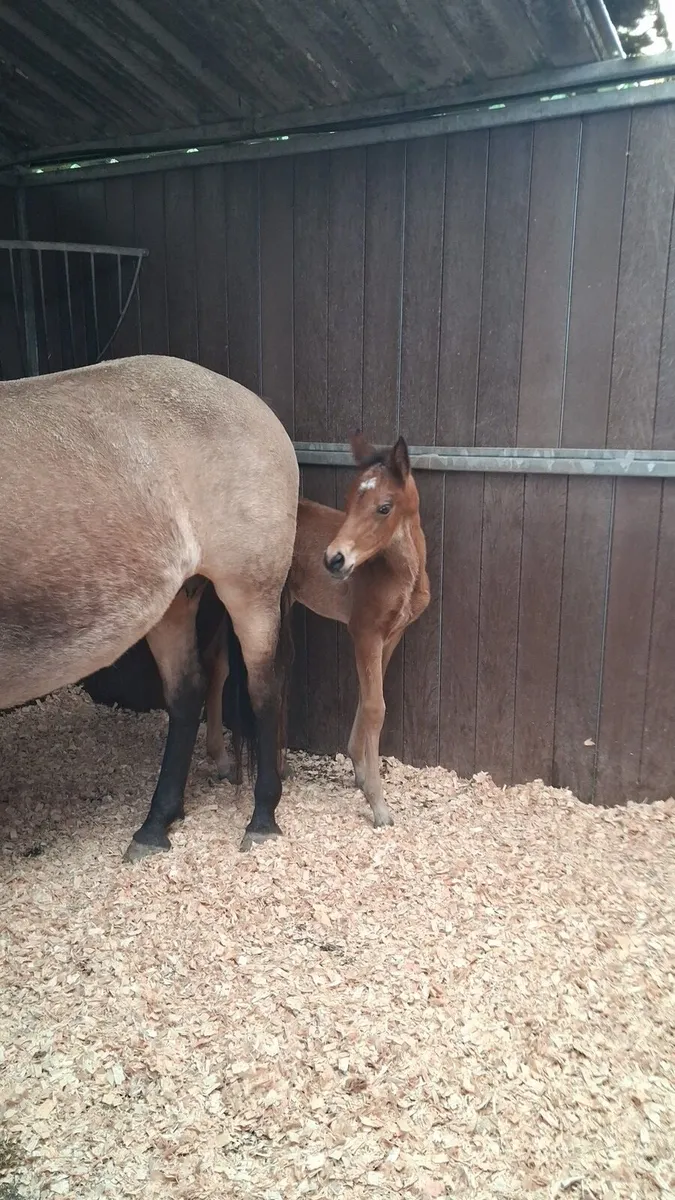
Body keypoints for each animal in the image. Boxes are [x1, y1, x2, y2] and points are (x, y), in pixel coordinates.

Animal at [0, 355, 298, 859]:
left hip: (251, 592)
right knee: (187, 692)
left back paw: (261, 819)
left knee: (264, 692)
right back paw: (156, 823)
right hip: (174, 600)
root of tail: (249, 401)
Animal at [205, 433, 430, 828]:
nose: (334, 560)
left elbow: (368, 699)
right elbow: (376, 707)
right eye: (349, 502)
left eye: (384, 507)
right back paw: (220, 758)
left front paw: (360, 770)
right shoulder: (364, 632)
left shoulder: (390, 636)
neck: (398, 572)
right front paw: (378, 804)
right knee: (219, 665)